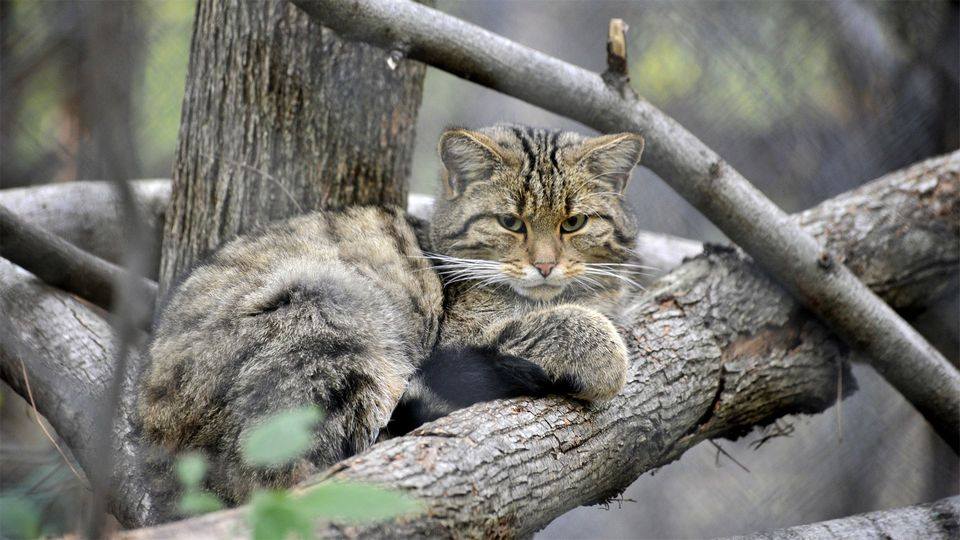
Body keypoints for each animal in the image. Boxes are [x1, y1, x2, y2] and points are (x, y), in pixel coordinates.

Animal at [137, 125, 644, 502]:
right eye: (510, 223)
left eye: (573, 222)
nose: (544, 265)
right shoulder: (466, 332)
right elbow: (588, 333)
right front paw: (602, 353)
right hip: (325, 316)